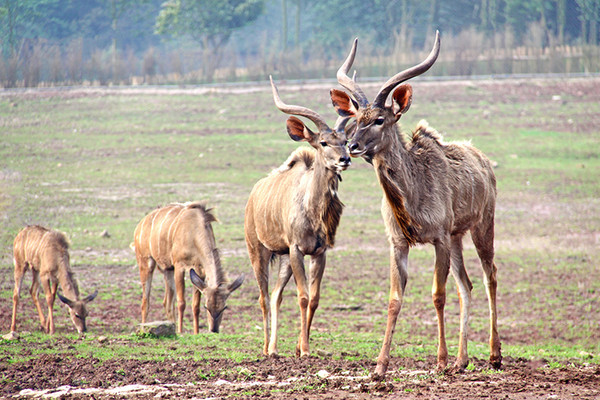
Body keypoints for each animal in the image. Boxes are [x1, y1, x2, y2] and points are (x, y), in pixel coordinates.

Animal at [135, 202, 245, 332]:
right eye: (207, 307)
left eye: (224, 307)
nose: (214, 330)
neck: (193, 232)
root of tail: (140, 226)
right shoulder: (179, 266)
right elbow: (181, 303)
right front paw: (181, 332)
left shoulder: (199, 270)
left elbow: (195, 306)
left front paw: (196, 332)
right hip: (146, 263)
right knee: (145, 302)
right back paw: (144, 329)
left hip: (168, 269)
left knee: (167, 303)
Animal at [246, 77, 352, 356]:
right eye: (323, 142)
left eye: (345, 140)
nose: (345, 159)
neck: (311, 210)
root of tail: (253, 194)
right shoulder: (297, 250)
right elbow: (303, 297)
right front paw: (303, 350)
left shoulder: (318, 252)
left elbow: (313, 299)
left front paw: (301, 346)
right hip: (258, 251)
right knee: (263, 296)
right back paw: (265, 348)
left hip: (283, 258)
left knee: (275, 295)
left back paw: (274, 347)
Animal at [332, 31, 502, 378]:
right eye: (356, 119)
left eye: (380, 119)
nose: (352, 147)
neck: (412, 197)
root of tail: (484, 162)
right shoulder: (399, 242)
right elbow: (395, 298)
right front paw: (380, 366)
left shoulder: (438, 238)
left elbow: (438, 295)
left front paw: (440, 361)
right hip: (458, 237)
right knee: (467, 284)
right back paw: (463, 360)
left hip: (481, 226)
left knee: (489, 275)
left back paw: (494, 355)